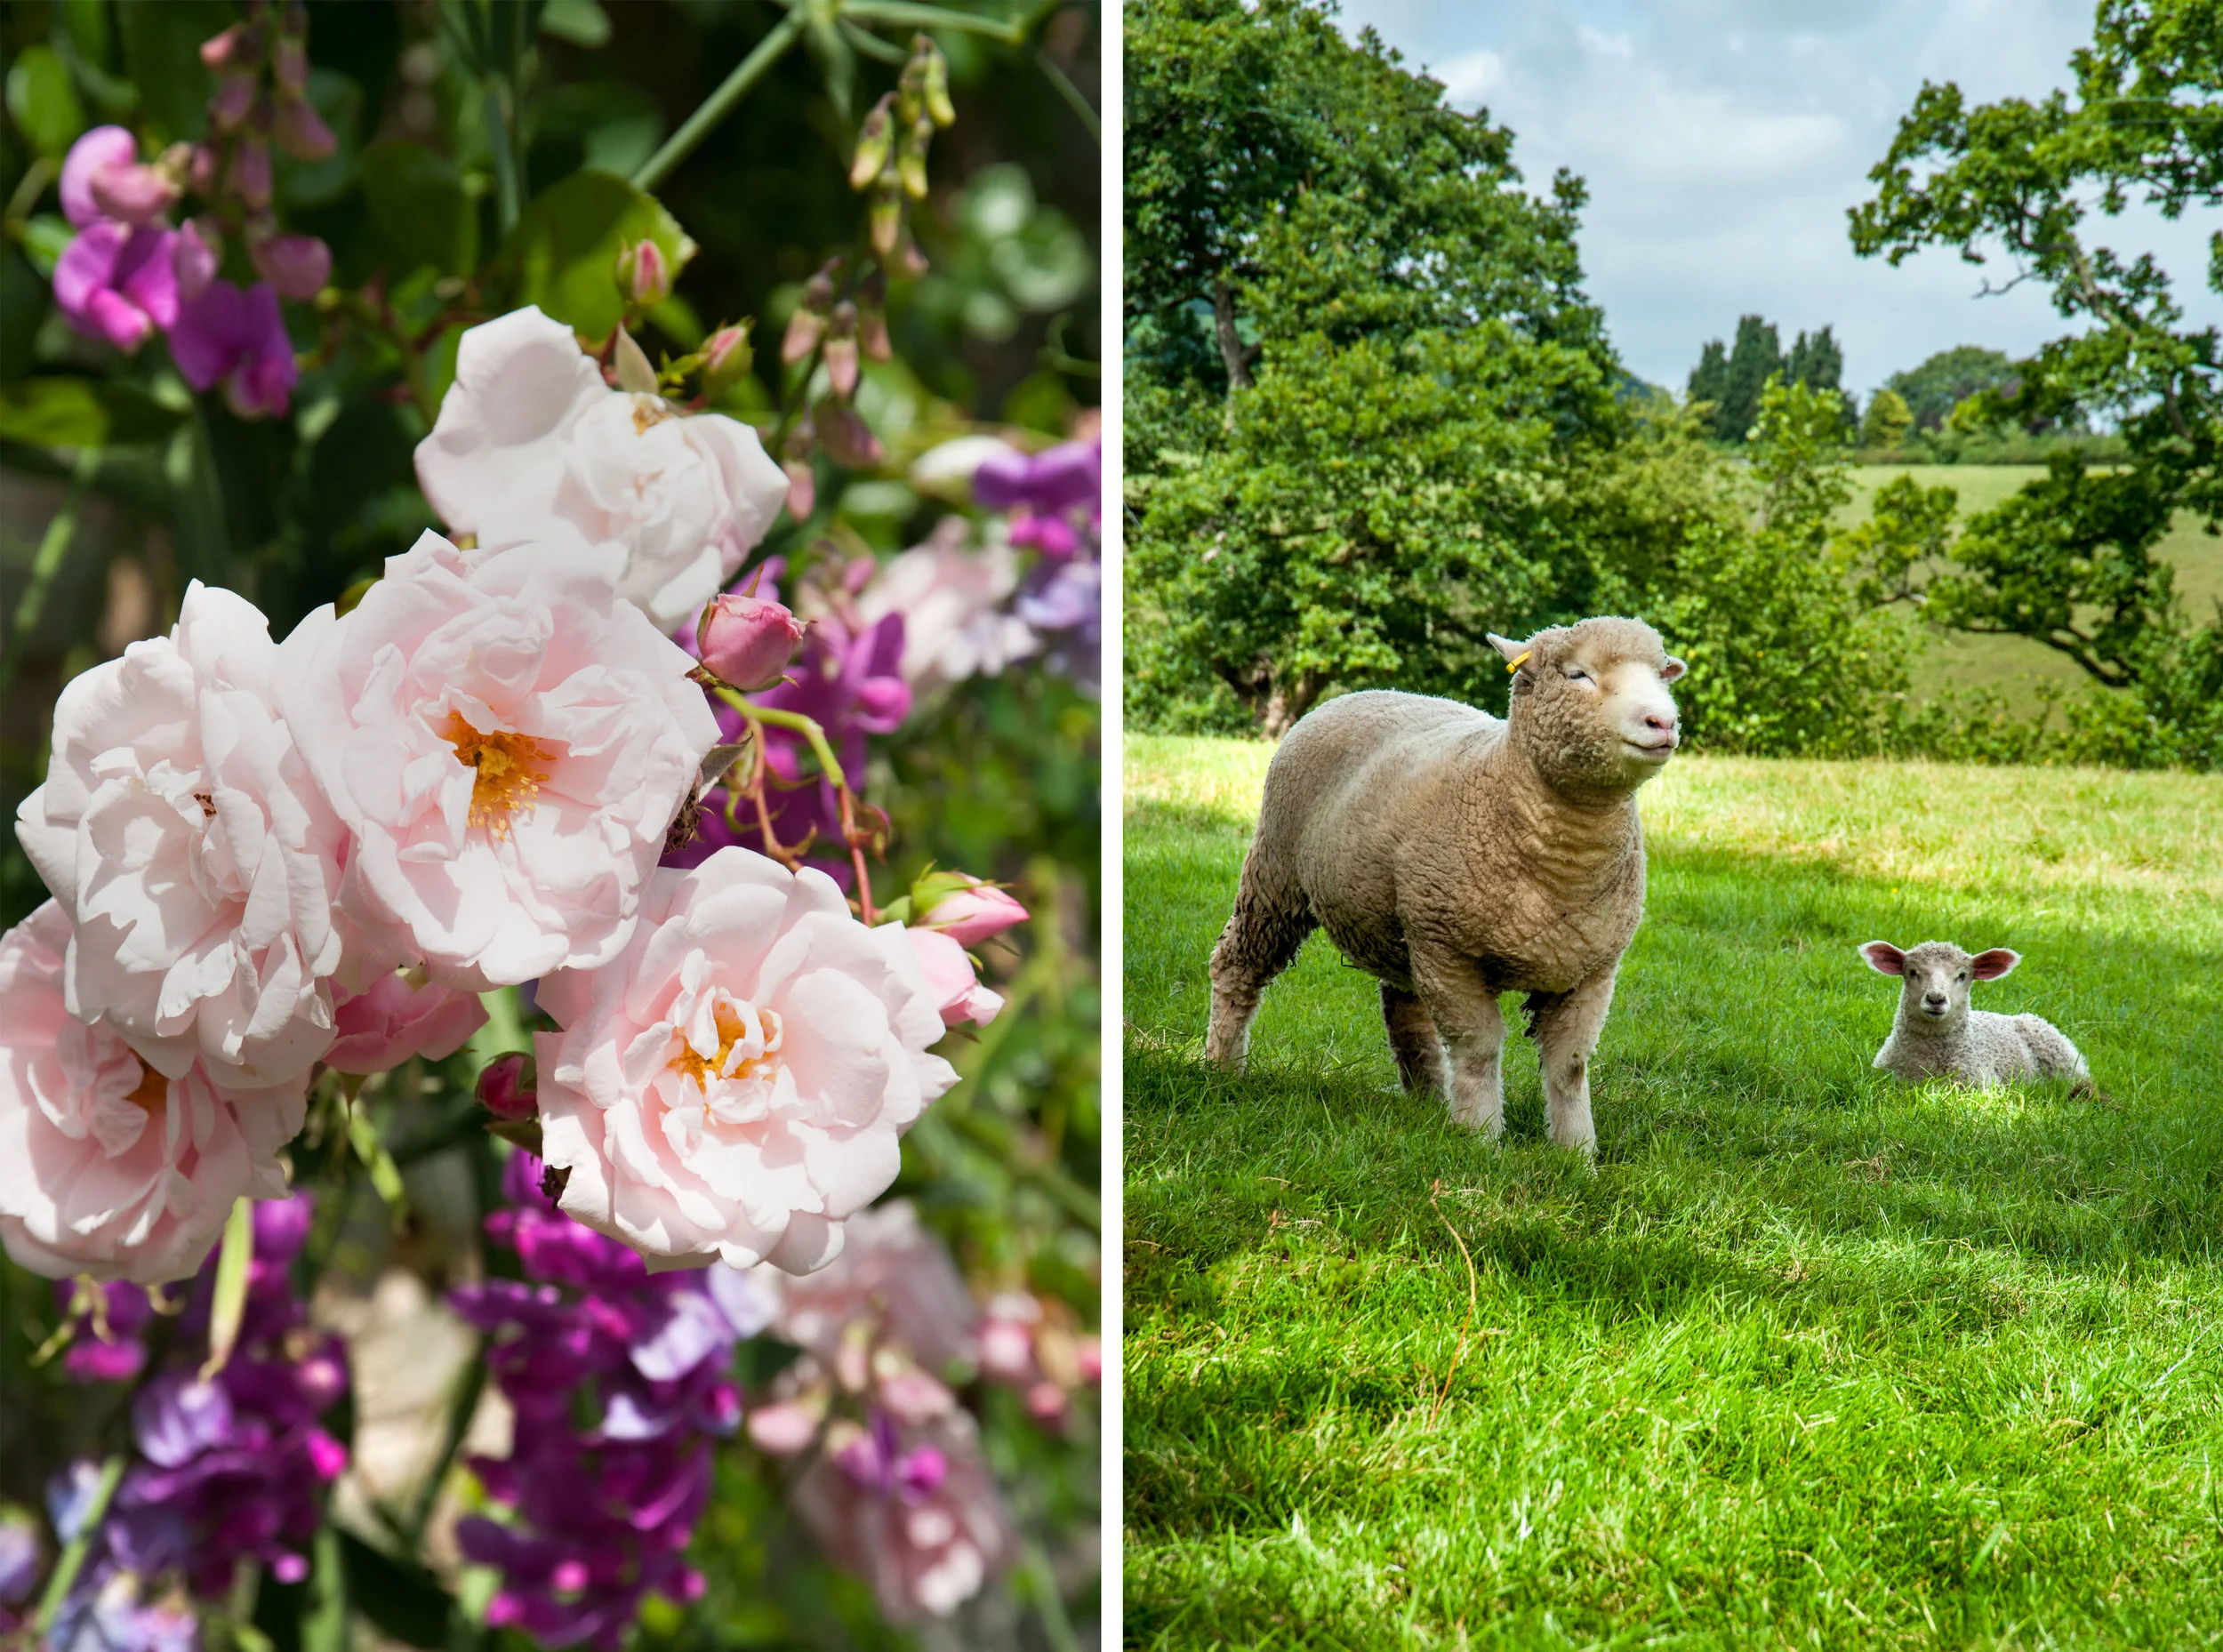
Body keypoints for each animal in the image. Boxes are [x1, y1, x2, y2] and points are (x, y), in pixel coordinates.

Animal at [1203, 616, 1687, 1157]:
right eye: (1577, 674)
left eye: (1661, 674)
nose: (1663, 721)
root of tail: (1363, 692)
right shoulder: (1449, 951)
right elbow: (1478, 1050)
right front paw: (1481, 1139)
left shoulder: (1593, 968)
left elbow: (1570, 1065)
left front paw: (1577, 1155)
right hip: (1278, 874)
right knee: (1237, 964)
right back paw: (1222, 1064)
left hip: (1399, 923)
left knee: (1403, 1009)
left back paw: (1428, 1100)